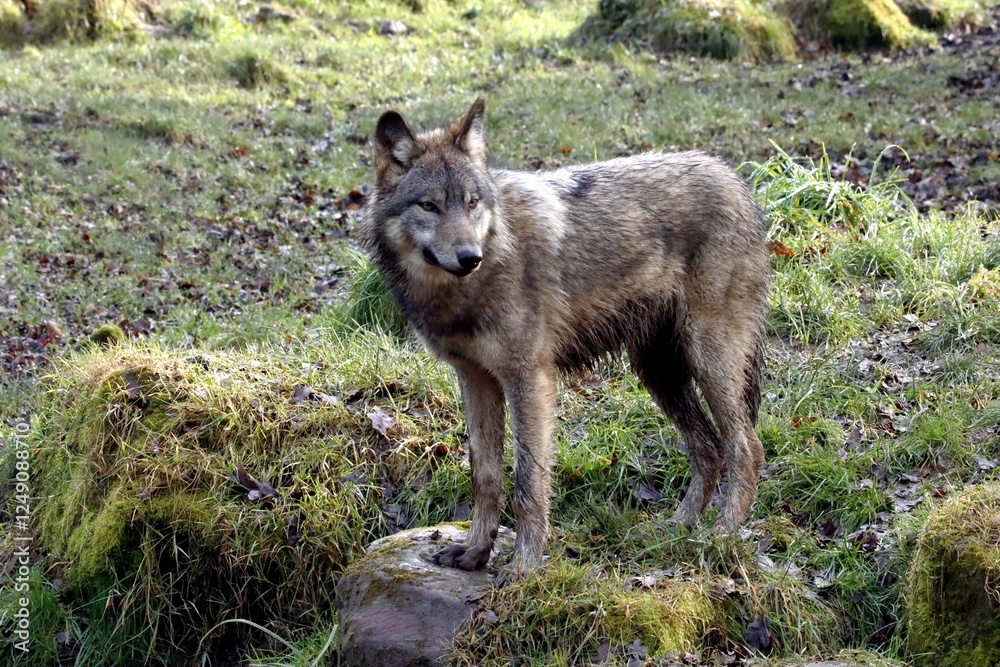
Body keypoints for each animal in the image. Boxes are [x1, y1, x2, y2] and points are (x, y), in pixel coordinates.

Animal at [362, 98, 769, 579]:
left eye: (471, 203)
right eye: (428, 205)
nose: (469, 257)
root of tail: (735, 178)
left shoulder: (530, 379)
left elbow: (528, 481)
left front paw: (523, 568)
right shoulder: (476, 378)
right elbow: (485, 475)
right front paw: (474, 553)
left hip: (708, 360)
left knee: (746, 447)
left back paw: (721, 535)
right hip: (658, 373)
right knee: (707, 448)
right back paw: (676, 529)